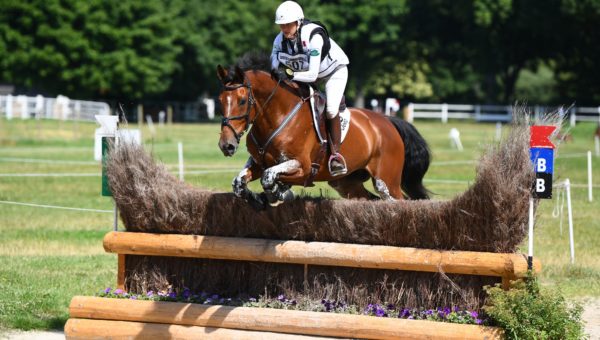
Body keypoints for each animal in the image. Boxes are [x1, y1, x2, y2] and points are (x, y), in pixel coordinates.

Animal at [218, 52, 428, 207]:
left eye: (242, 101)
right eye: (220, 100)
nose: (226, 145)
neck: (276, 117)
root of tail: (387, 121)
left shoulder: (302, 167)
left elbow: (269, 178)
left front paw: (281, 193)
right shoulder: (258, 163)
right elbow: (239, 183)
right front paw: (260, 198)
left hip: (387, 181)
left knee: (397, 199)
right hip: (346, 183)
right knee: (370, 199)